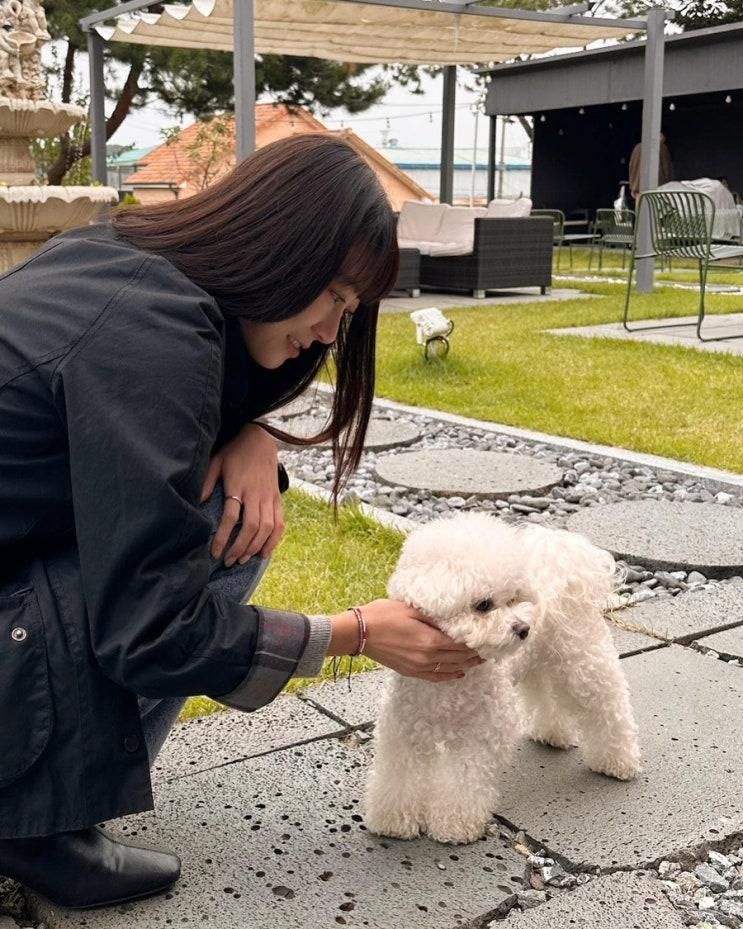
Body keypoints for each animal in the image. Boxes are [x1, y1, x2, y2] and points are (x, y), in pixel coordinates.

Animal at [364, 512, 644, 844]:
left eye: (514, 599)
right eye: (484, 604)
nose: (524, 629)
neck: (448, 683)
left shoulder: (478, 737)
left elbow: (463, 783)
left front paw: (453, 826)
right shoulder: (403, 732)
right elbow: (398, 779)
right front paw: (394, 821)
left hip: (585, 666)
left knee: (609, 709)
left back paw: (619, 762)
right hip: (538, 666)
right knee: (547, 698)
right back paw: (553, 733)